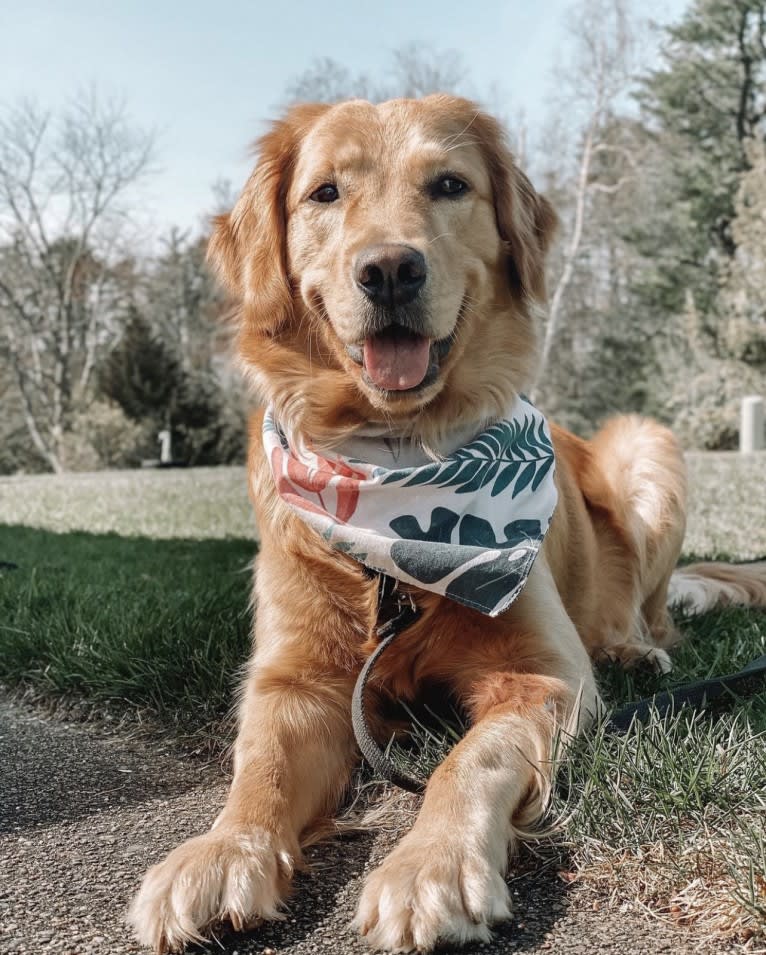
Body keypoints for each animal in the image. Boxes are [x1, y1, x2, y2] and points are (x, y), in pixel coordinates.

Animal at [129, 93, 766, 952]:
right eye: (325, 193)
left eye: (450, 184)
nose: (390, 270)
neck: (396, 470)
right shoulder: (293, 676)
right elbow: (259, 763)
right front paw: (220, 851)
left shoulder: (544, 673)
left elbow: (468, 758)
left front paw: (429, 865)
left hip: (648, 446)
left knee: (647, 612)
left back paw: (636, 650)